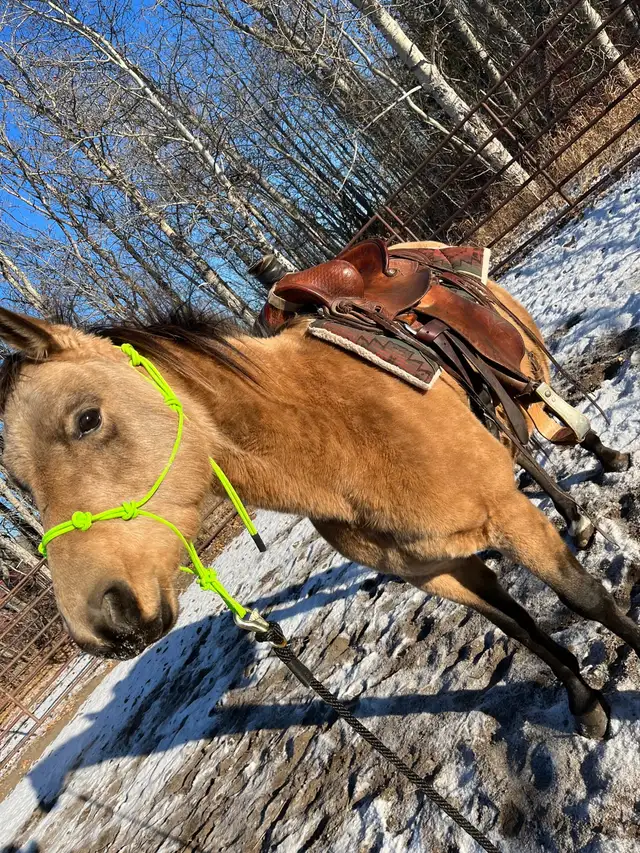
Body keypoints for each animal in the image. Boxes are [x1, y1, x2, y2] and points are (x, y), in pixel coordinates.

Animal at [0, 243, 635, 740]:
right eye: (18, 480)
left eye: (86, 420)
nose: (100, 627)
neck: (336, 436)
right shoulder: (437, 569)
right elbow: (521, 628)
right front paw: (584, 702)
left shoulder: (507, 517)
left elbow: (585, 599)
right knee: (525, 451)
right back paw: (574, 515)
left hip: (526, 374)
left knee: (561, 423)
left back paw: (603, 467)